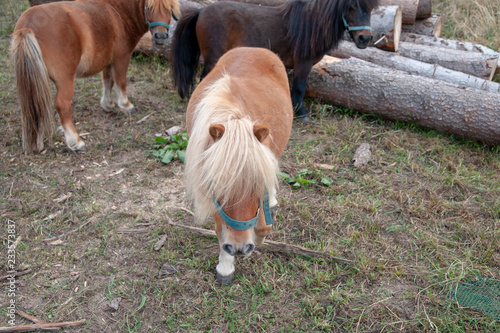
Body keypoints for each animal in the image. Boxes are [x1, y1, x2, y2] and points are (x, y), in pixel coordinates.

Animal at [11, 0, 181, 152]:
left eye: (170, 8)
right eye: (149, 7)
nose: (160, 36)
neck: (117, 13)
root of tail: (28, 26)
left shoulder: (108, 61)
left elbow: (108, 81)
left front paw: (107, 105)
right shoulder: (121, 58)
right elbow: (120, 81)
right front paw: (126, 105)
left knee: (34, 105)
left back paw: (37, 144)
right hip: (65, 80)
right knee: (62, 106)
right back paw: (76, 142)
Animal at [172, 0, 378, 122]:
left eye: (369, 9)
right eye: (350, 7)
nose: (364, 38)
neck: (310, 25)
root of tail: (201, 10)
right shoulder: (303, 64)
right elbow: (299, 88)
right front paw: (301, 114)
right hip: (213, 58)